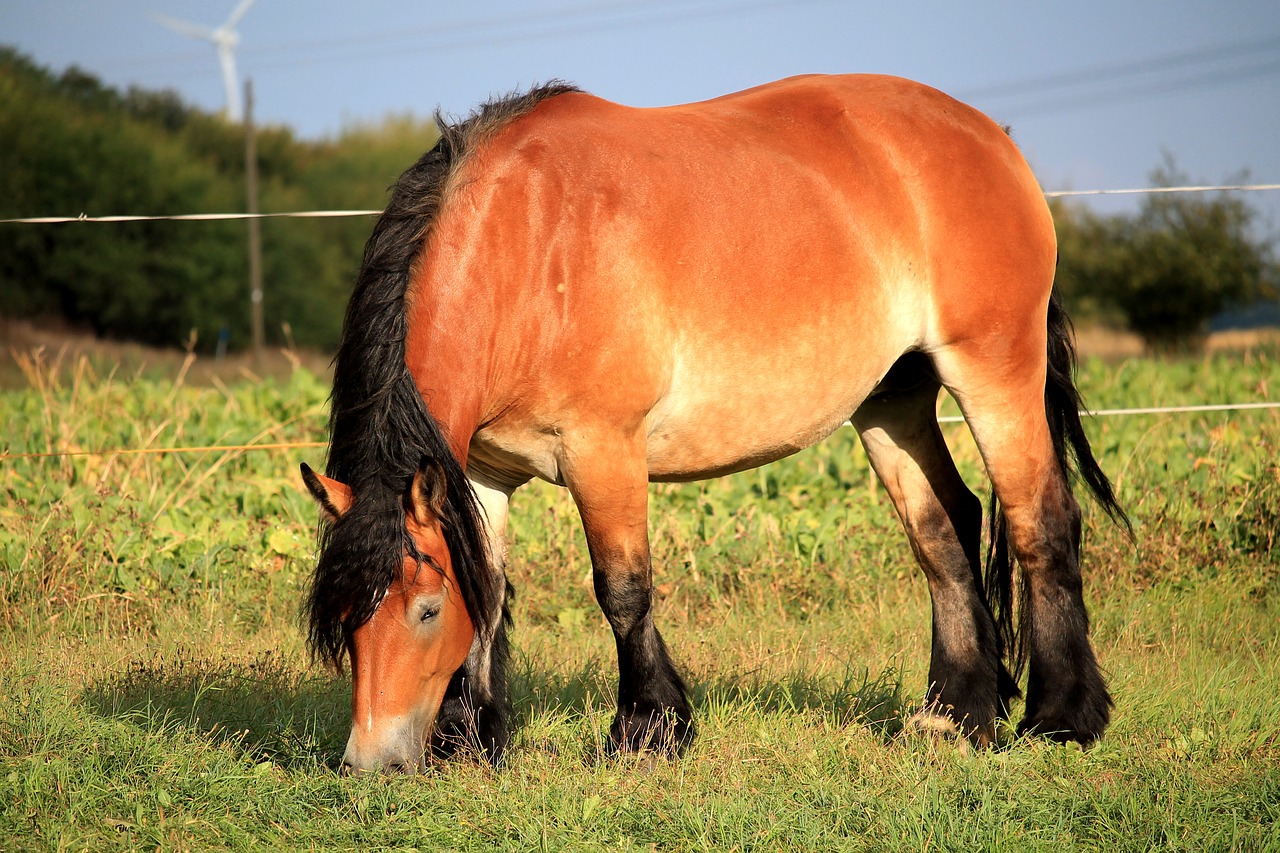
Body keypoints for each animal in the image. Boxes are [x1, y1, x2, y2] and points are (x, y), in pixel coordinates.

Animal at [296, 76, 1121, 773]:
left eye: (426, 610)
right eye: (344, 622)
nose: (369, 763)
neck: (528, 246)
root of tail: (991, 138)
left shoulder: (604, 450)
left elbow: (622, 590)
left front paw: (649, 729)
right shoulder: (480, 470)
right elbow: (491, 588)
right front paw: (470, 737)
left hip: (994, 371)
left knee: (1040, 520)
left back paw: (1062, 716)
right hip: (893, 401)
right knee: (945, 529)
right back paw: (954, 713)